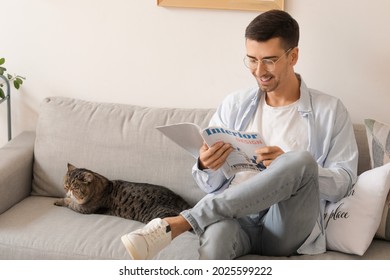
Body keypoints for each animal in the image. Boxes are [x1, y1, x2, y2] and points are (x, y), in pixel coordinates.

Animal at [53, 164, 190, 223]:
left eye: (75, 188)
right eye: (66, 186)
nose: (68, 192)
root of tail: (181, 200)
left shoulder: (84, 209)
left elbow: (69, 203)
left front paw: (59, 200)